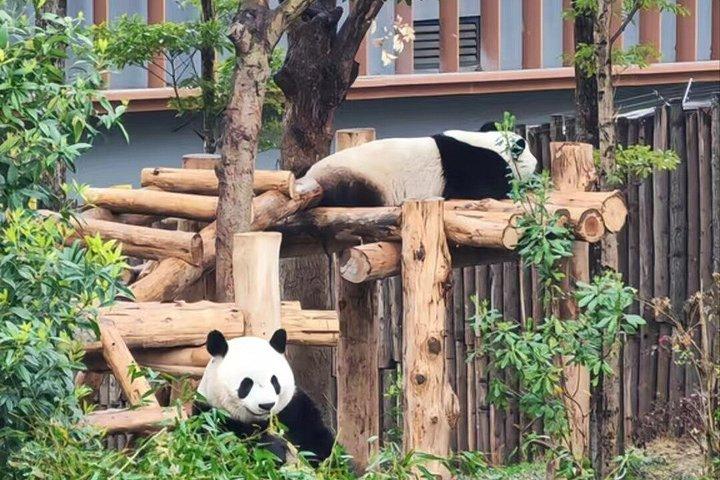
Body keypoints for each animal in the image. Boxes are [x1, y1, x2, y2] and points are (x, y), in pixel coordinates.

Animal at [194, 329, 335, 466]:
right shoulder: (210, 415)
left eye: (274, 381)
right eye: (246, 383)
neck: (261, 421)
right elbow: (222, 449)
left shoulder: (296, 410)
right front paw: (273, 449)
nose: (267, 405)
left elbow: (319, 443)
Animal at [304, 124, 537, 207]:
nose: (536, 162)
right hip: (355, 178)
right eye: (530, 152)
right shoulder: (472, 164)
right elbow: (479, 188)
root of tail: (311, 176)